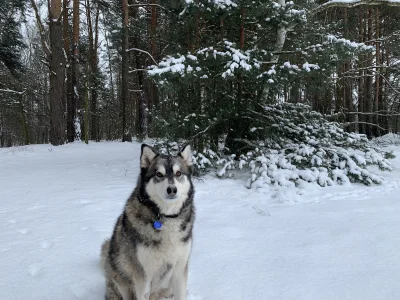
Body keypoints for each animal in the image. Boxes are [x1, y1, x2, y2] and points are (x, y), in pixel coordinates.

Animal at [101, 144, 196, 298]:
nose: (172, 189)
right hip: (118, 276)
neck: (166, 216)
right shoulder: (142, 276)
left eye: (178, 173)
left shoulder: (180, 270)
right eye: (159, 174)